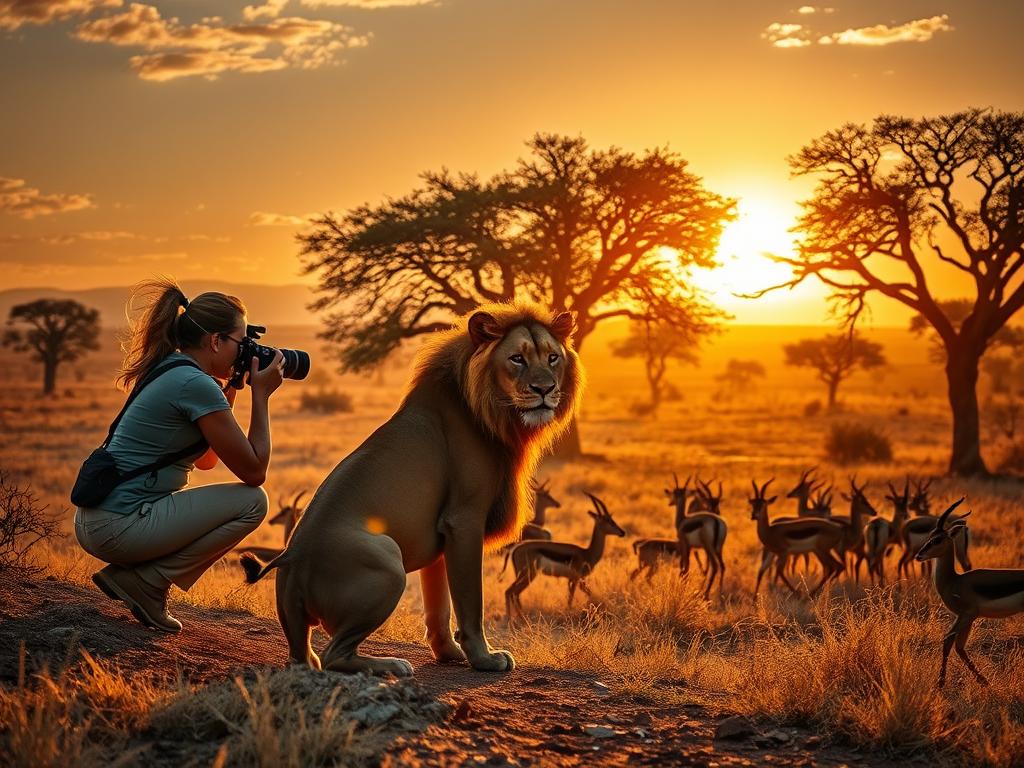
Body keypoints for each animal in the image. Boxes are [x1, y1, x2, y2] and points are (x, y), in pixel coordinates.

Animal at [241, 301, 584, 676]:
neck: (496, 416)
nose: (545, 389)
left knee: (307, 657)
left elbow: (440, 606)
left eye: (552, 357)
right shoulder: (463, 519)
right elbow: (470, 601)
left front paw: (449, 653)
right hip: (388, 560)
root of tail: (291, 563)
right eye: (517, 359)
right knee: (335, 653)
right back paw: (392, 664)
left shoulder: (441, 532)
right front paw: (485, 658)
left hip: (301, 632)